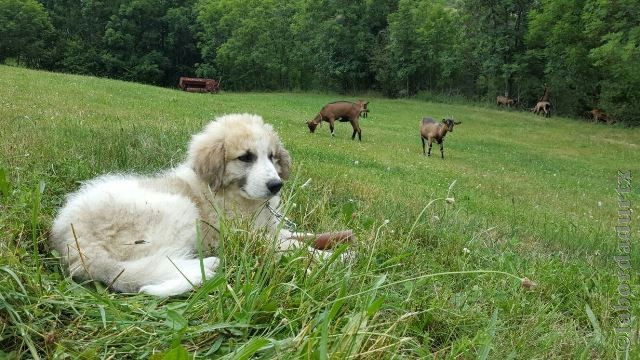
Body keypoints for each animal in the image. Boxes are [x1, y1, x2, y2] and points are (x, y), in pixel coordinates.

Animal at [51, 114, 294, 296]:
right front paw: (303, 253)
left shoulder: (267, 228)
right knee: (164, 259)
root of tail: (75, 246)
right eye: (245, 157)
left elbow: (289, 235)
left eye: (271, 156)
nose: (276, 185)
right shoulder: (240, 235)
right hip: (179, 211)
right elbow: (281, 245)